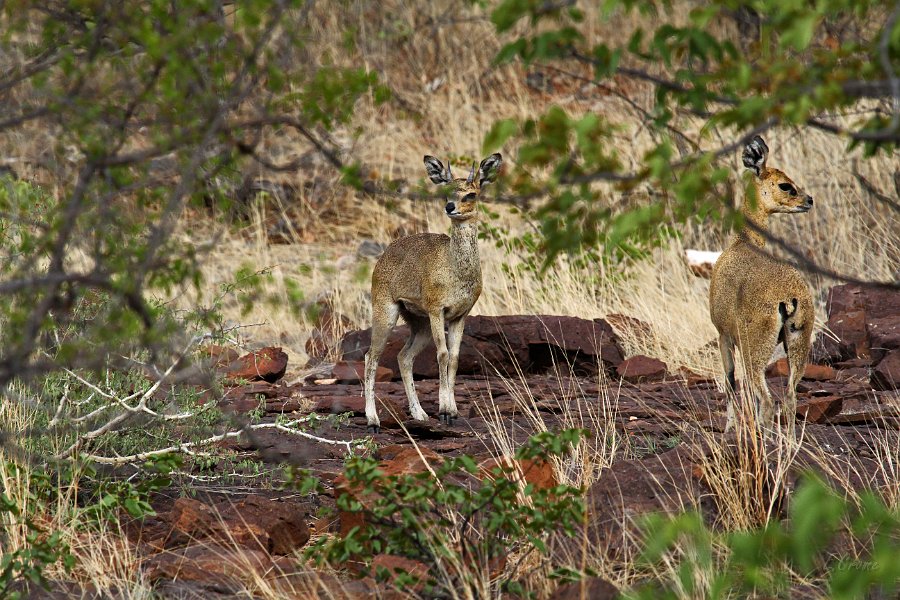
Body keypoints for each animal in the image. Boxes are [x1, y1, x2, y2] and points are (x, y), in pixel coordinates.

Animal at [362, 150, 502, 432]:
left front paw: (453, 409)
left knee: (404, 357)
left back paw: (419, 414)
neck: (455, 269)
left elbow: (455, 357)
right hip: (387, 312)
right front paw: (444, 410)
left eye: (471, 194)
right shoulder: (438, 310)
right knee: (371, 357)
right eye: (447, 191)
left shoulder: (460, 315)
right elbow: (443, 354)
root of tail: (384, 255)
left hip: (419, 322)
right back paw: (372, 420)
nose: (450, 207)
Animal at [712, 136, 816, 432]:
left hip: (754, 349)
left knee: (767, 401)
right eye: (785, 184)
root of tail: (789, 297)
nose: (809, 200)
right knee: (790, 397)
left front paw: (729, 428)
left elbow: (730, 382)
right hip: (798, 343)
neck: (743, 242)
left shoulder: (723, 335)